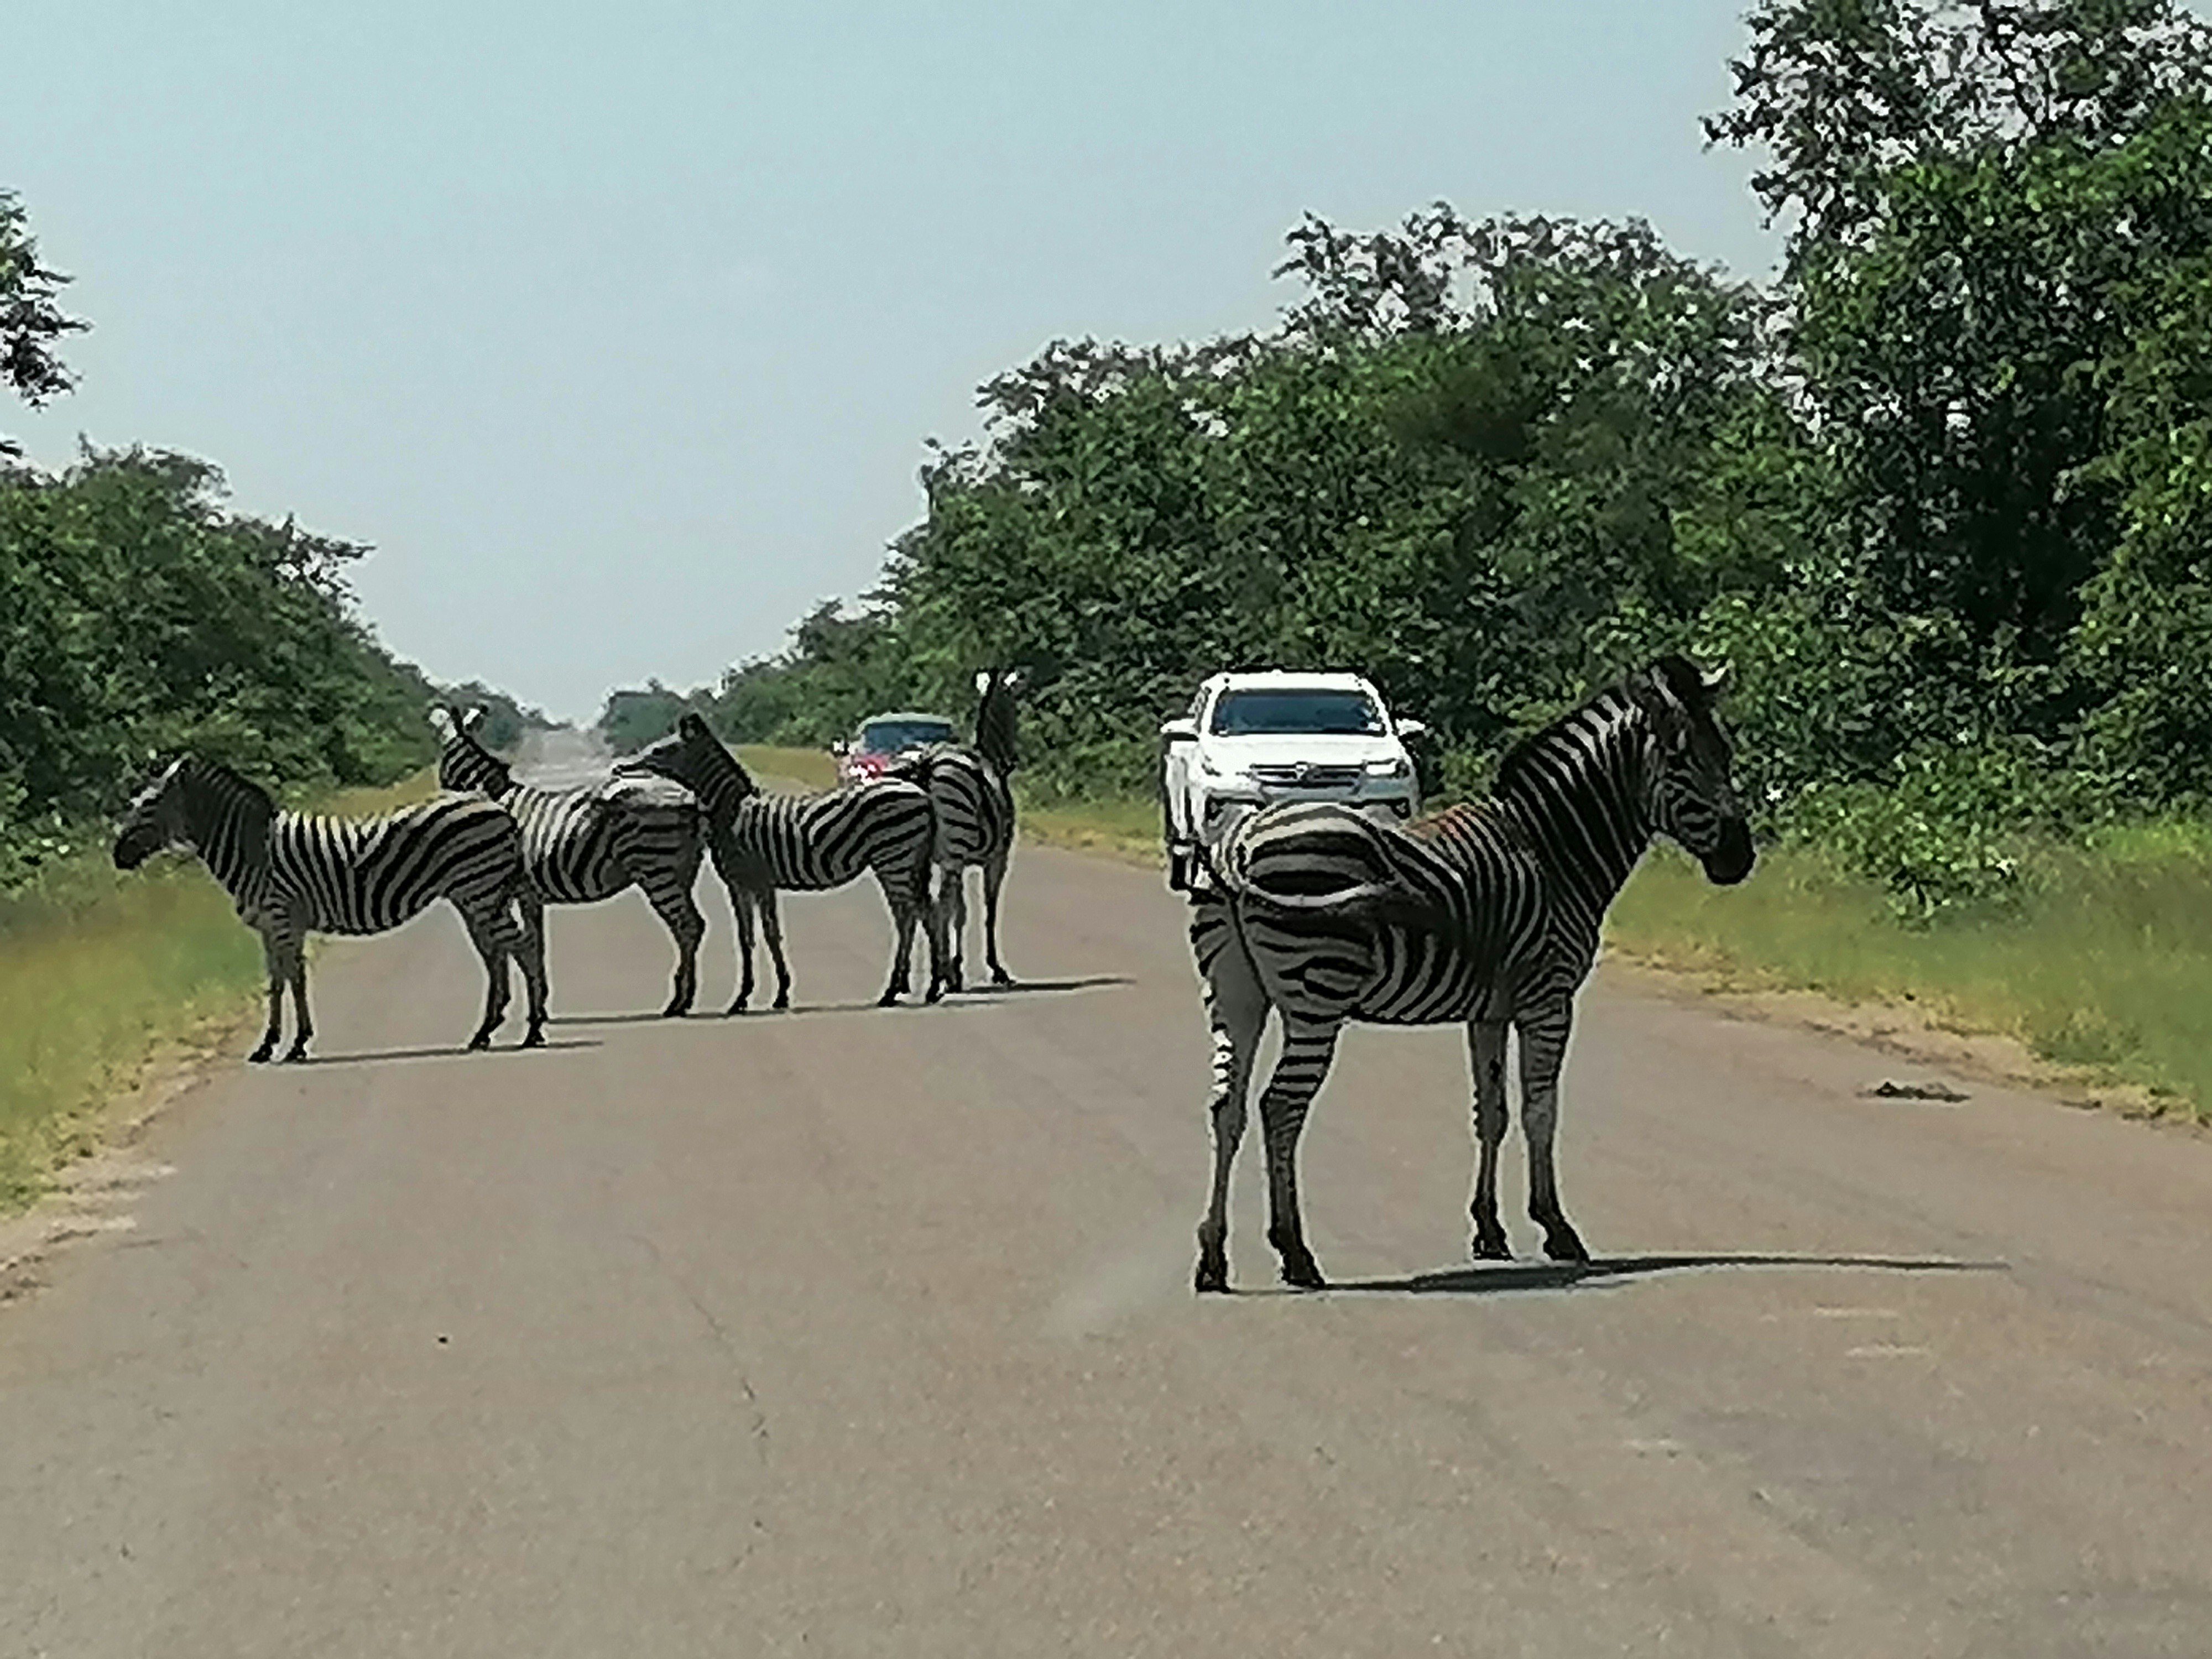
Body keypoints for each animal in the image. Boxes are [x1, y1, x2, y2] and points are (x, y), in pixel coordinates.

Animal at [112, 755, 548, 1062]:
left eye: (149, 806)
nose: (117, 856)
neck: (255, 852)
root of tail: (500, 809)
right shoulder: (271, 926)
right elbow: (277, 981)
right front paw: (271, 1045)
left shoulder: (282, 917)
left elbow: (293, 979)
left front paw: (293, 1045)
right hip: (475, 895)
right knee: (498, 952)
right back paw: (486, 1032)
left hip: (479, 889)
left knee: (522, 947)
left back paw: (533, 1030)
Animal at [430, 705, 708, 1017]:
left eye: (443, 761)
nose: (442, 791)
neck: (497, 795)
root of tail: (688, 798)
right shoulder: (528, 894)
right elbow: (535, 943)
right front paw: (540, 1003)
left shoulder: (506, 892)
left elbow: (514, 945)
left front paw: (530, 1008)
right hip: (684, 871)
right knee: (691, 927)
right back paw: (684, 998)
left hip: (657, 870)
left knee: (688, 926)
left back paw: (678, 1002)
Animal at [611, 713, 943, 1012]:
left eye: (659, 751)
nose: (619, 767)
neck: (730, 812)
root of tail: (921, 794)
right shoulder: (751, 884)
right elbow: (753, 937)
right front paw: (760, 995)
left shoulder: (752, 881)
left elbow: (764, 936)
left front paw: (761, 996)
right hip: (907, 861)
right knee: (921, 913)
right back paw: (929, 988)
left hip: (893, 857)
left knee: (908, 917)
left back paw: (894, 991)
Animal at [888, 667, 1022, 995]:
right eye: (1015, 709)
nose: (1015, 760)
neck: (989, 757)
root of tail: (925, 762)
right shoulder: (995, 859)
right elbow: (985, 910)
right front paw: (993, 969)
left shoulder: (955, 860)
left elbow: (959, 912)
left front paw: (956, 967)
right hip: (953, 848)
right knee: (937, 905)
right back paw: (938, 978)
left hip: (914, 852)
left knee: (915, 906)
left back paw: (909, 977)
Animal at [1186, 655, 1755, 1293]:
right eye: (1684, 761)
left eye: (1725, 754)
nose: (1741, 860)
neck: (1553, 851)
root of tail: (1238, 843)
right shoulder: (1548, 999)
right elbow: (1539, 1111)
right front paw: (1556, 1227)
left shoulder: (1489, 1009)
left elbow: (1492, 1113)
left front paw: (1489, 1230)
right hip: (1317, 995)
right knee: (1280, 1108)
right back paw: (1295, 1253)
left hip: (1236, 995)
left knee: (1227, 1107)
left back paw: (1213, 1258)